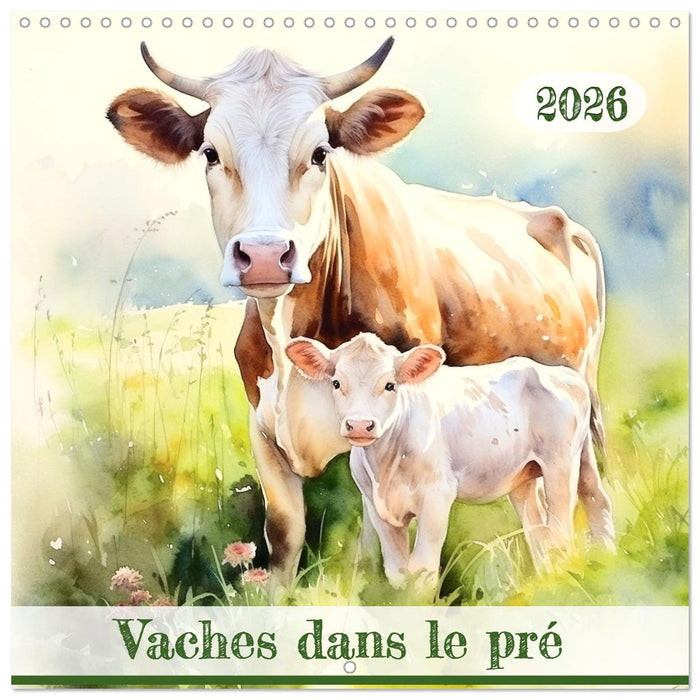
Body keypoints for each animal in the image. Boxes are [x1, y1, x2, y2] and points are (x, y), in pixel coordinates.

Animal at [286, 333, 616, 590]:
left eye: (390, 385)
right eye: (336, 383)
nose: (359, 425)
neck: (386, 466)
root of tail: (560, 373)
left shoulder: (437, 497)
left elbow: (423, 571)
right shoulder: (376, 506)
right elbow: (398, 573)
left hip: (561, 462)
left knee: (564, 528)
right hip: (532, 474)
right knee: (558, 524)